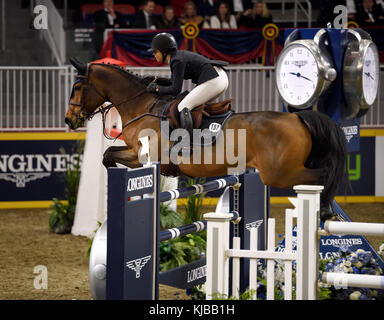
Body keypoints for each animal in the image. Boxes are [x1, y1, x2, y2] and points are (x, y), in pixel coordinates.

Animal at [65, 58, 348, 221]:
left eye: (77, 87)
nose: (69, 120)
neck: (142, 105)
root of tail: (297, 117)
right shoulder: (135, 153)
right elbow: (108, 154)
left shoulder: (144, 156)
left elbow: (110, 156)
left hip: (280, 173)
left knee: (323, 176)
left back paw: (325, 209)